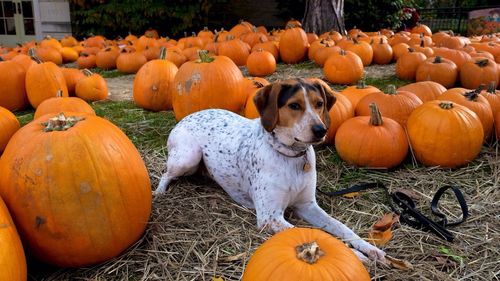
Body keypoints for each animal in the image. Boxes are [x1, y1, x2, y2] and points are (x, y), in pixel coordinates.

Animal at [155, 77, 386, 262]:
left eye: (319, 104)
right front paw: (352, 254)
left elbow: (340, 227)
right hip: (189, 156)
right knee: (166, 173)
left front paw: (368, 248)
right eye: (294, 105)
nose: (321, 130)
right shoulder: (269, 216)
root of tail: (189, 116)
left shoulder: (307, 205)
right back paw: (159, 192)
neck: (291, 156)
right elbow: (315, 235)